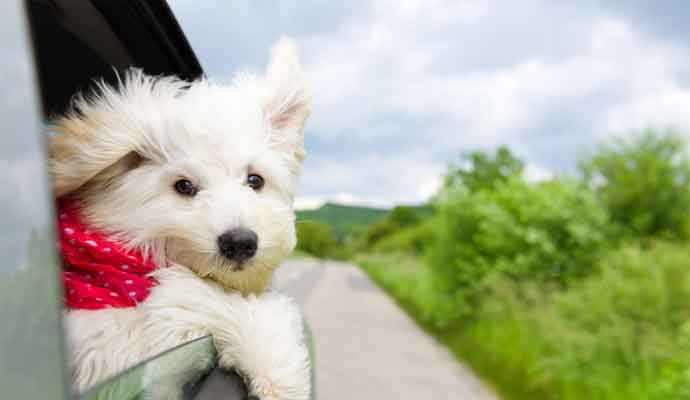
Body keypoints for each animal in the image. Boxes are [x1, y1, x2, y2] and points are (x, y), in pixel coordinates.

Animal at [45, 36, 310, 398]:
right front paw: (279, 366)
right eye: (183, 186)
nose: (240, 243)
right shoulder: (100, 351)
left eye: (255, 180)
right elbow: (188, 302)